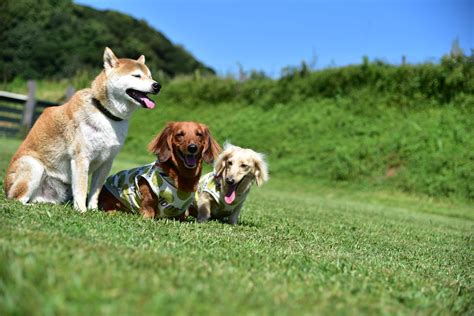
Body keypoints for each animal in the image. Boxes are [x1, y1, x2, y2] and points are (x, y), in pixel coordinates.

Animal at [1, 47, 162, 212]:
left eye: (150, 76)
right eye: (137, 75)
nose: (157, 85)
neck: (106, 114)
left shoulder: (106, 162)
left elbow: (95, 190)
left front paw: (93, 210)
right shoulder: (81, 158)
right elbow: (82, 187)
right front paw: (82, 210)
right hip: (33, 166)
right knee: (18, 199)